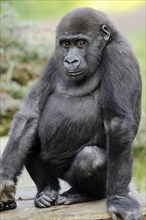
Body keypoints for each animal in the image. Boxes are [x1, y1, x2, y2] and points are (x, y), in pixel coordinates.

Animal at [0, 7, 141, 220]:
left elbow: (118, 123)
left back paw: (83, 194)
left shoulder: (119, 55)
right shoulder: (54, 58)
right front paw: (2, 182)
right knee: (31, 138)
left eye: (81, 43)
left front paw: (118, 198)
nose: (70, 60)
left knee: (91, 158)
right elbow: (30, 115)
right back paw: (47, 190)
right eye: (66, 44)